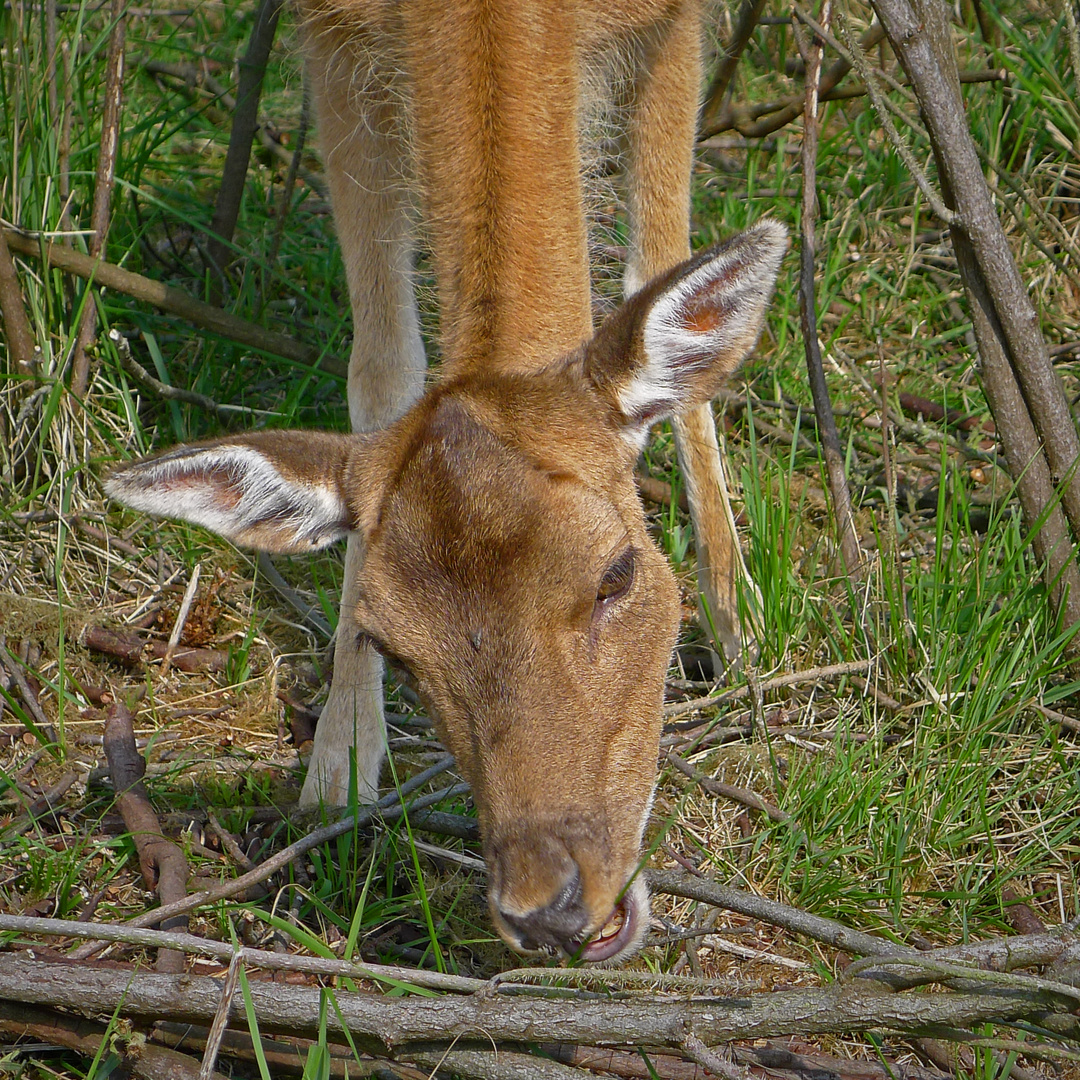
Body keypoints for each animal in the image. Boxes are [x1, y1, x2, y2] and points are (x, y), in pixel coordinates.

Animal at [107, 0, 786, 963]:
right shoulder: (335, 40)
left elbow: (660, 261)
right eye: (390, 642)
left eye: (618, 575)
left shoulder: (675, 23)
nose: (549, 909)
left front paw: (742, 637)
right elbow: (383, 370)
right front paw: (341, 764)